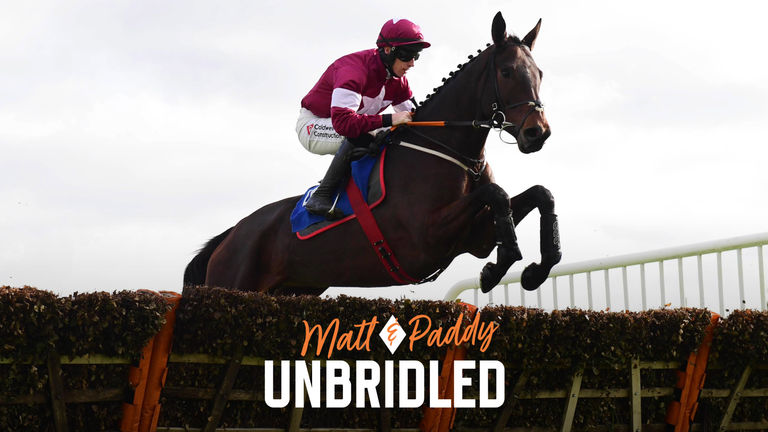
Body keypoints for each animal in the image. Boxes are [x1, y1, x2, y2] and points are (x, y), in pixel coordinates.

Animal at [184, 12, 561, 296]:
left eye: (540, 73)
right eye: (507, 72)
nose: (537, 133)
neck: (450, 151)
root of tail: (229, 236)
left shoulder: (476, 235)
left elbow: (540, 194)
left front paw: (535, 269)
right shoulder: (427, 238)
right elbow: (496, 194)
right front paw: (501, 263)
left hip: (294, 290)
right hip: (233, 284)